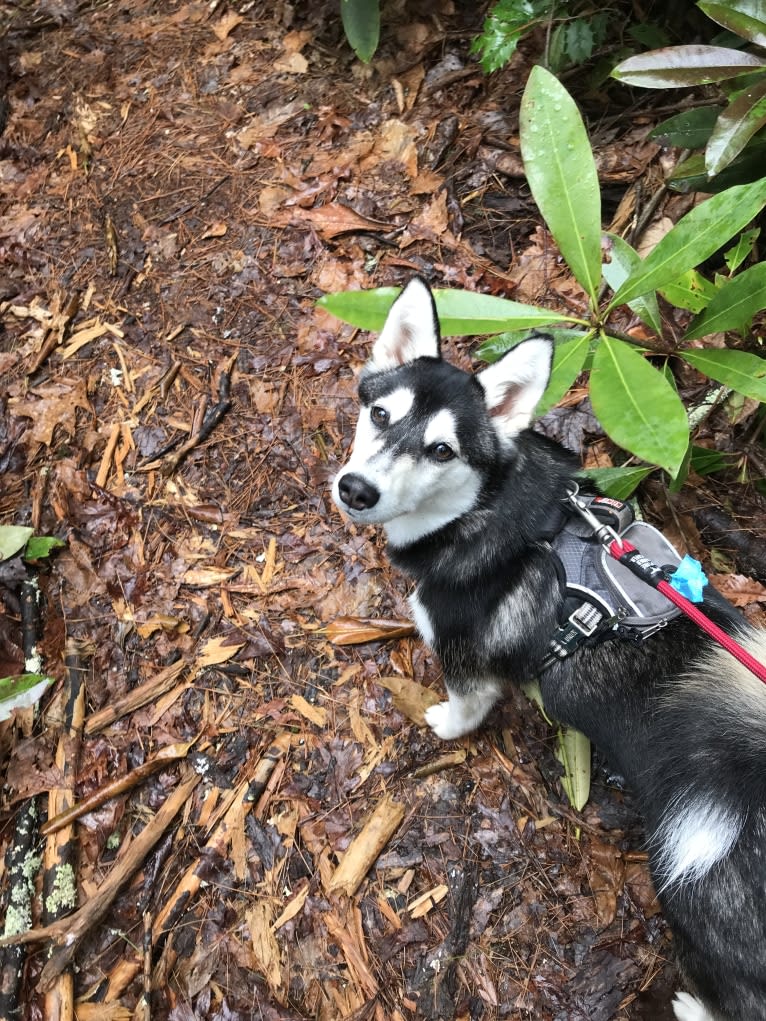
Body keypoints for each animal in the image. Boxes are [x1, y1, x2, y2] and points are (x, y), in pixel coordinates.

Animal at [332, 277, 766, 1021]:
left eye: (443, 451)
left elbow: (466, 705)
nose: (356, 490)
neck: (485, 510)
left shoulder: (464, 656)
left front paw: (444, 725)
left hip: (704, 901)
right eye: (380, 413)